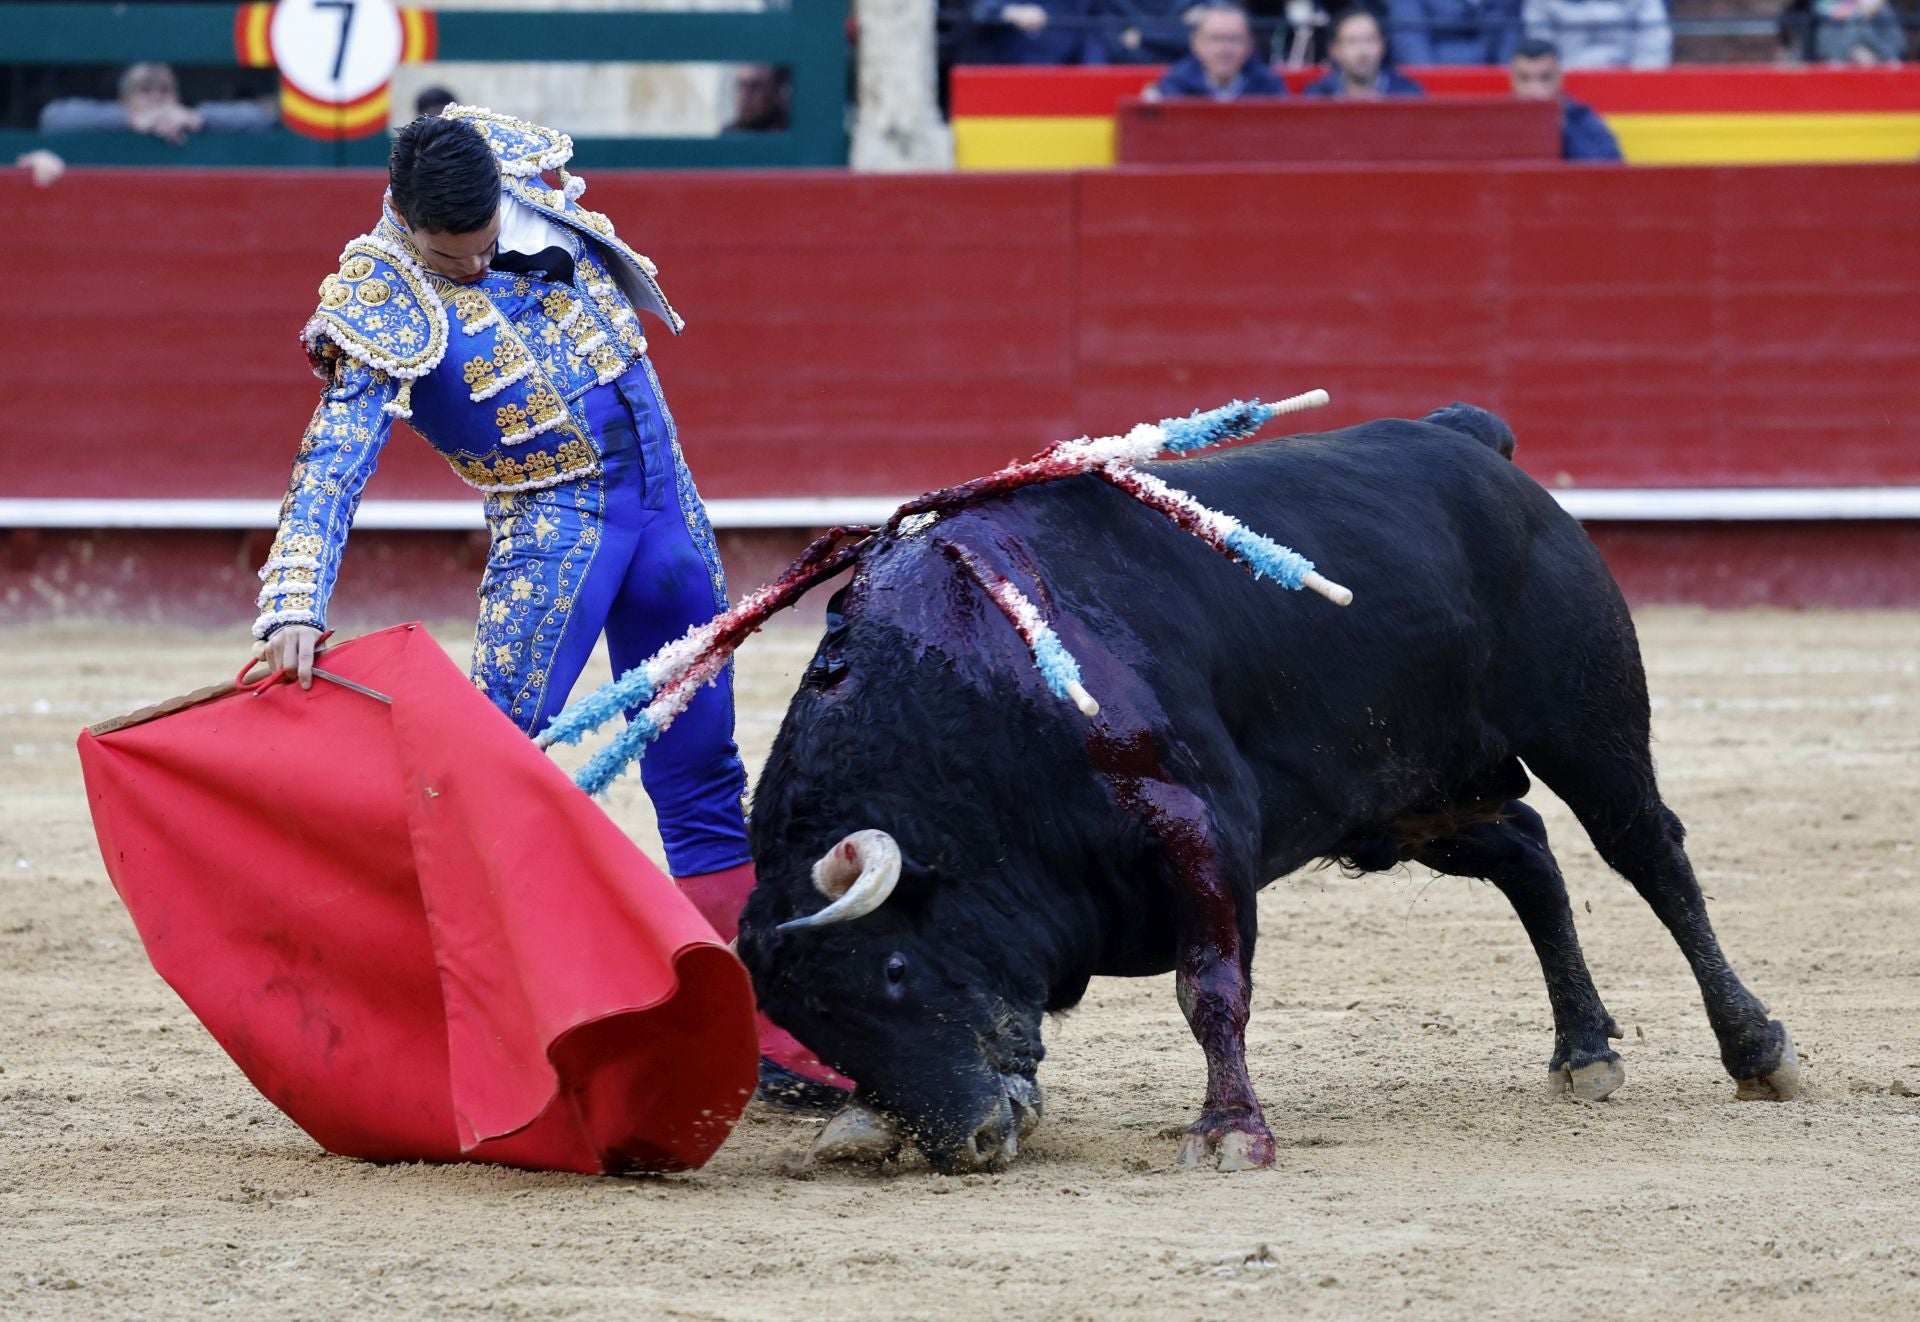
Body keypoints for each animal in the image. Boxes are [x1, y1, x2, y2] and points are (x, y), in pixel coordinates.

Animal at [733, 406, 1797, 1174]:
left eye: (895, 971)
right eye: (811, 1025)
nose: (973, 1142)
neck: (976, 686)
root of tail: (1464, 438)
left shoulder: (1197, 834)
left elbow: (1210, 987)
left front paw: (1229, 1131)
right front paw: (867, 1121)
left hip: (1588, 732)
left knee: (1651, 857)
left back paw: (1755, 1050)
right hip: (1413, 799)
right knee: (1531, 856)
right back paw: (1584, 1051)